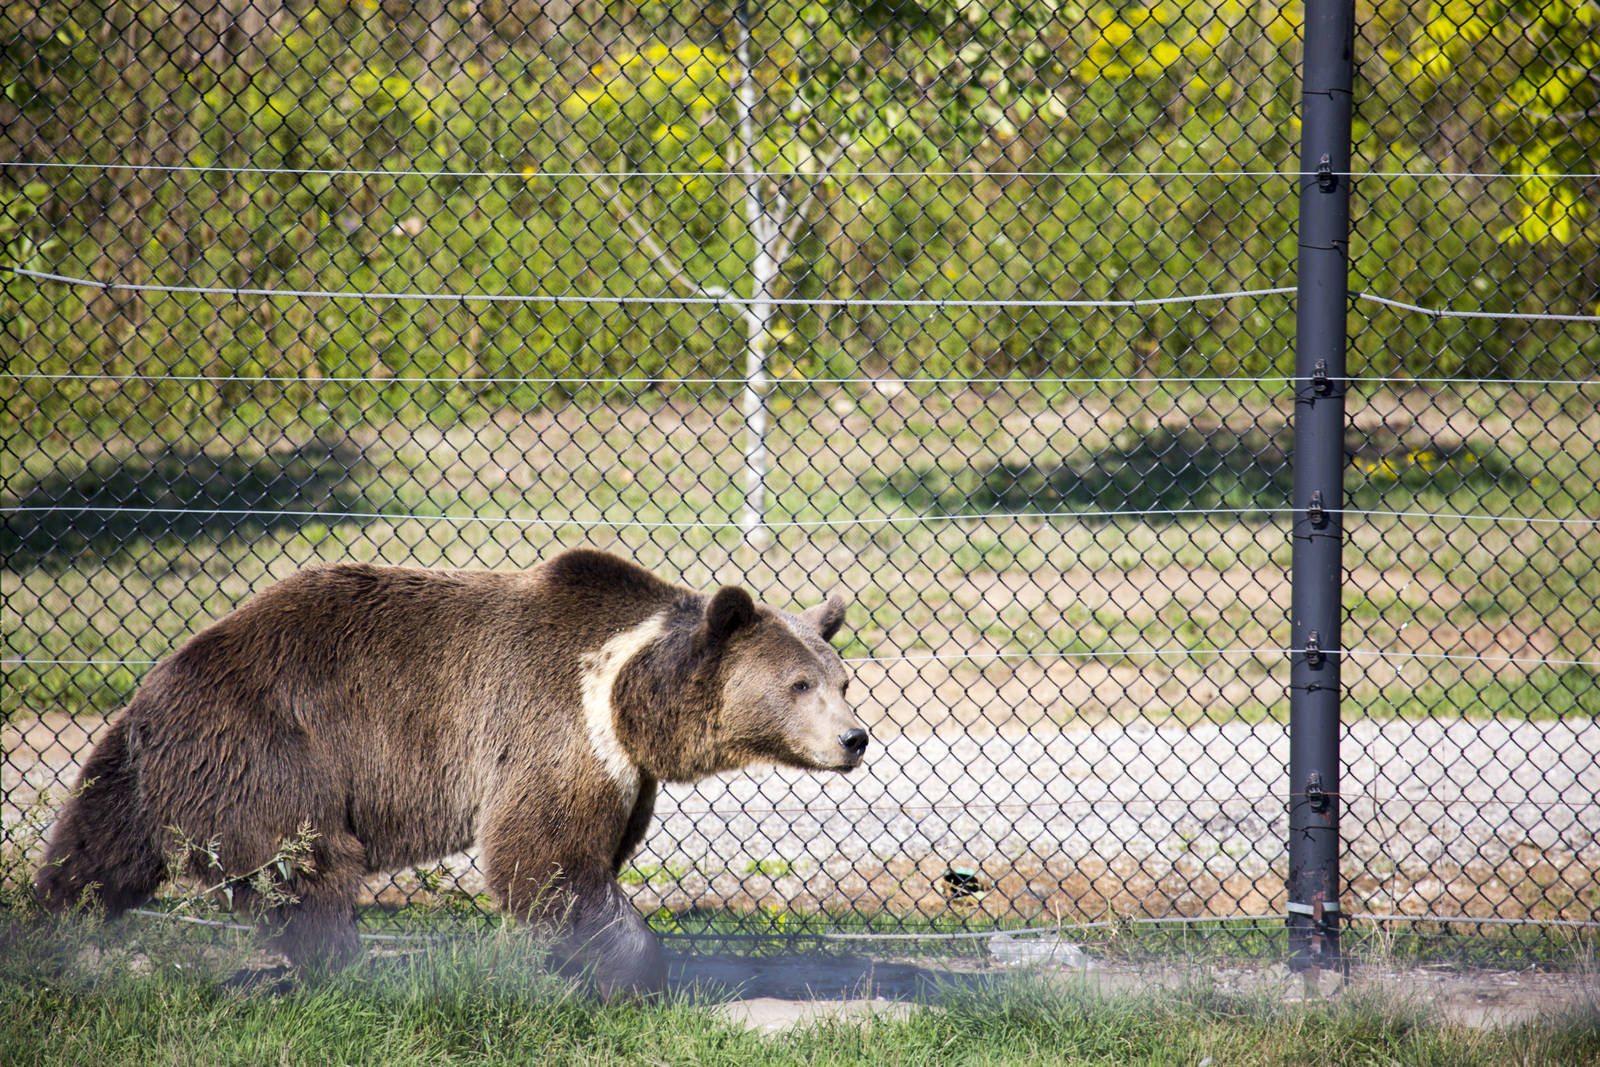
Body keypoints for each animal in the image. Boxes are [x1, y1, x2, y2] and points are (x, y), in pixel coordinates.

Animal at [34, 548, 868, 997]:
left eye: (842, 677)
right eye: (799, 683)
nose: (856, 737)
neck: (625, 692)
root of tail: (156, 685)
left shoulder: (622, 769)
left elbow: (580, 858)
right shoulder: (552, 722)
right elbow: (546, 856)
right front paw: (628, 970)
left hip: (142, 768)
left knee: (97, 846)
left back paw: (51, 929)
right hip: (270, 747)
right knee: (310, 864)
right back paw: (340, 970)